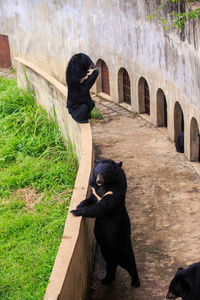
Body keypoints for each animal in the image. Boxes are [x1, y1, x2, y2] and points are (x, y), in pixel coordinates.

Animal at [70, 158, 141, 288]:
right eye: (97, 172)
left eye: (105, 173)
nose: (98, 181)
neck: (104, 185)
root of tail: (117, 259)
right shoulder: (95, 191)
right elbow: (91, 198)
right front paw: (79, 205)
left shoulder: (115, 190)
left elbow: (102, 206)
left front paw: (75, 211)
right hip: (107, 251)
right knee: (111, 265)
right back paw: (106, 279)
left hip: (124, 248)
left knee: (130, 264)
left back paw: (135, 282)